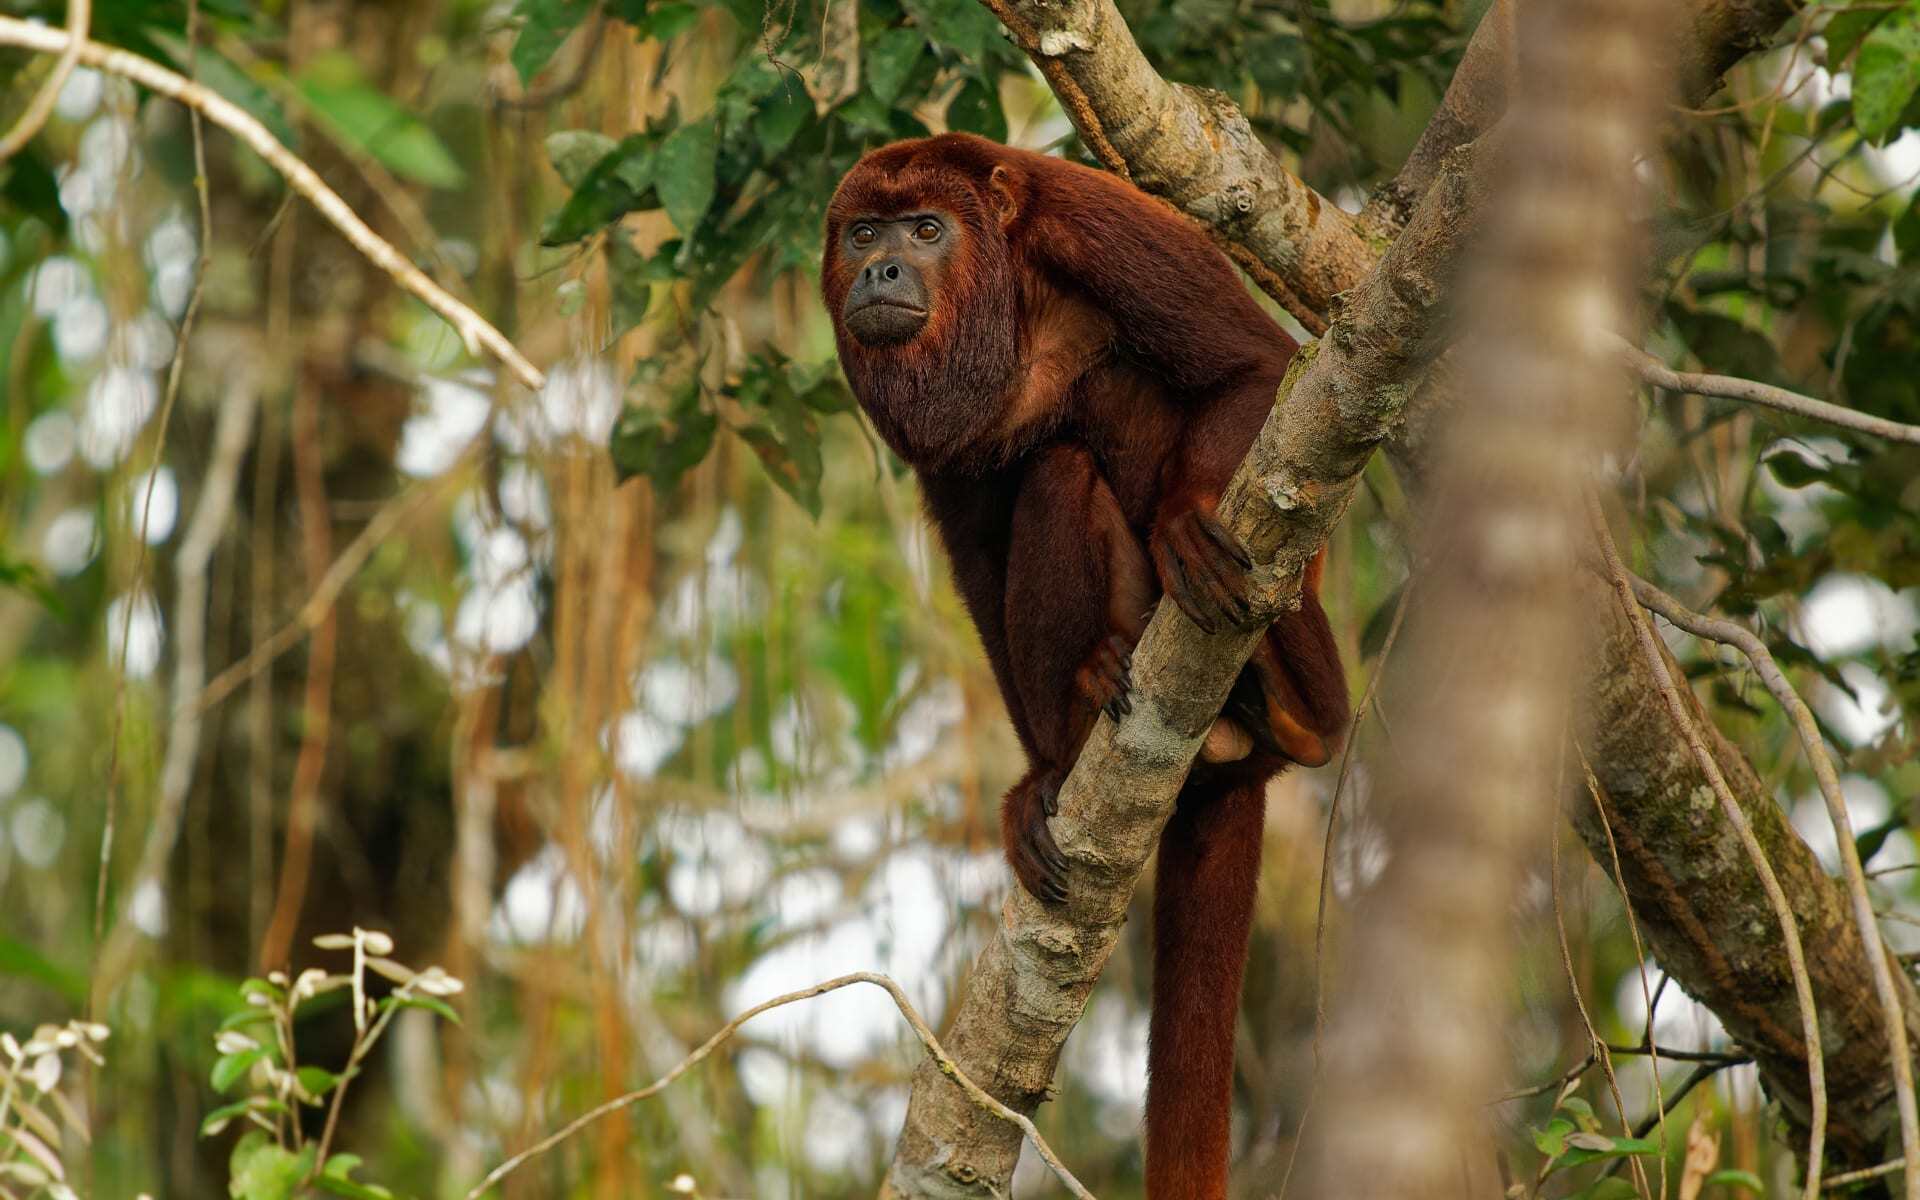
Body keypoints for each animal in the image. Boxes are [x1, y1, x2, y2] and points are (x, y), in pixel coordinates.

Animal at [825, 133, 1351, 1198]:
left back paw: (1299, 706)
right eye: (863, 233)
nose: (881, 272)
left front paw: (1189, 517)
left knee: (1088, 430)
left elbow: (1256, 363)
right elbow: (977, 555)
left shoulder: (1095, 227)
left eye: (926, 231)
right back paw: (1075, 733)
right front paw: (1031, 780)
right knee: (1050, 475)